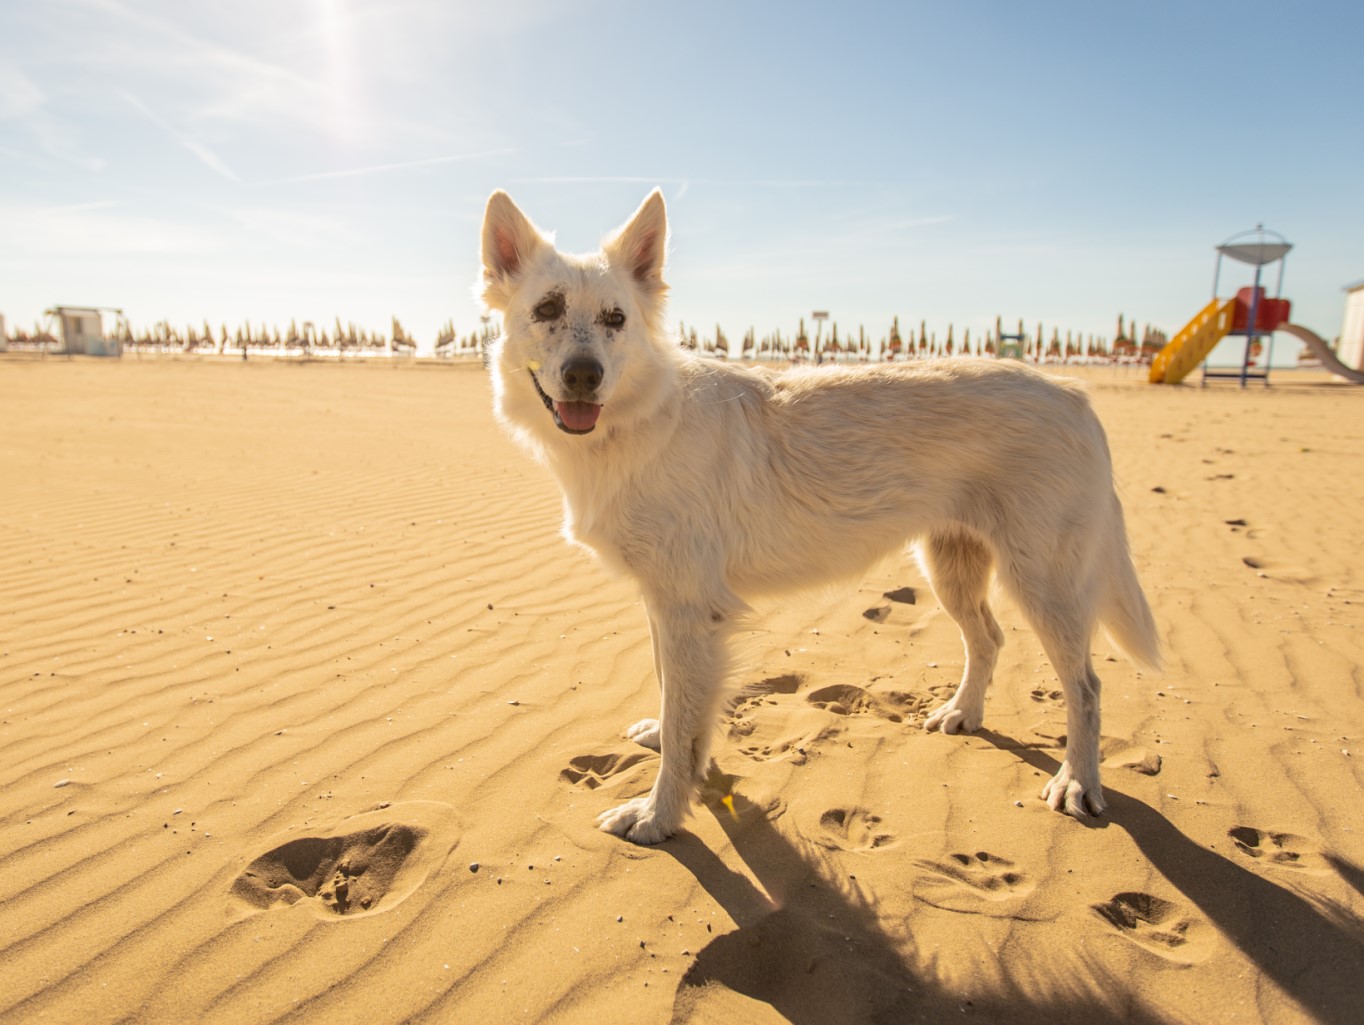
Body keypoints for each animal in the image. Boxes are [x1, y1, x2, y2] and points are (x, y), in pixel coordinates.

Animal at [474, 188, 1156, 846]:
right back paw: (964, 713)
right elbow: (675, 702)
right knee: (988, 638)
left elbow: (683, 728)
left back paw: (1078, 781)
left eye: (616, 319)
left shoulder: (690, 611)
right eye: (547, 310)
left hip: (1044, 585)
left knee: (1087, 689)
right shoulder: (663, 604)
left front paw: (660, 814)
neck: (639, 421)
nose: (583, 376)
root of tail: (1072, 394)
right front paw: (670, 754)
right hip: (951, 568)